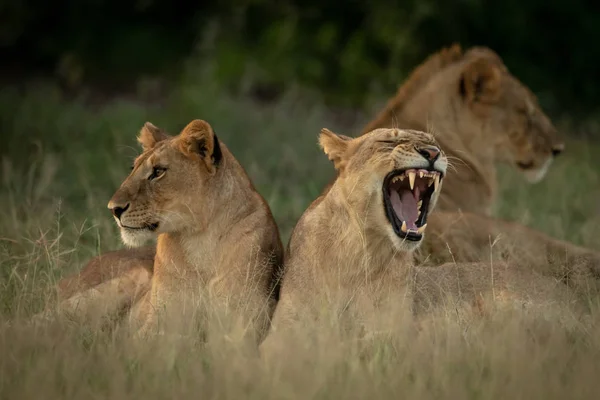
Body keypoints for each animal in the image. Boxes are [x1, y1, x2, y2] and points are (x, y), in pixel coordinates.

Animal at [35, 119, 284, 344]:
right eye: (133, 168)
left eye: (158, 172)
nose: (113, 209)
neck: (200, 239)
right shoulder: (160, 323)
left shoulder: (243, 323)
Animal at [260, 127, 580, 356]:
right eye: (389, 141)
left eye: (432, 141)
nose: (433, 152)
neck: (361, 249)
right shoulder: (286, 325)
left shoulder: (394, 326)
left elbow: (365, 341)